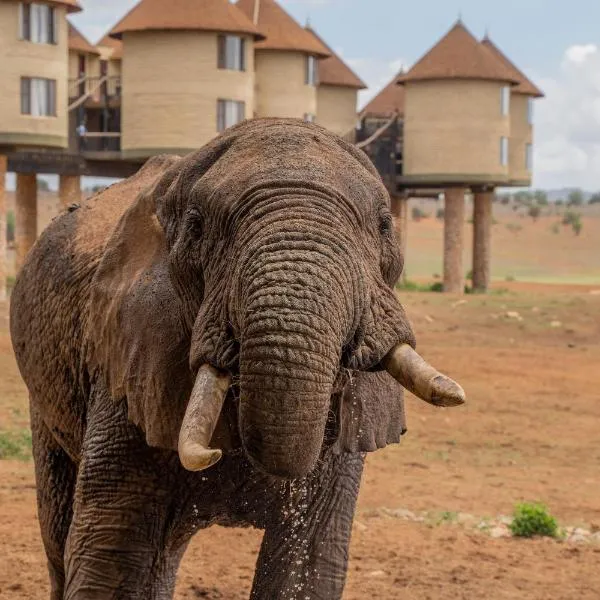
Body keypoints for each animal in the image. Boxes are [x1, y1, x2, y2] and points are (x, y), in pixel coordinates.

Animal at [10, 118, 464, 600]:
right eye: (196, 228)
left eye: (383, 226)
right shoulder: (128, 359)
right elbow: (112, 560)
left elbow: (308, 563)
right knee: (60, 531)